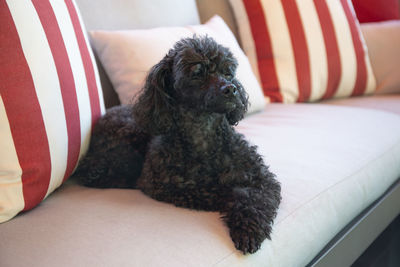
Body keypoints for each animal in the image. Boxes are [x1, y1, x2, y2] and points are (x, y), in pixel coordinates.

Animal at [74, 36, 282, 255]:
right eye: (197, 73)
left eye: (228, 72)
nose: (231, 88)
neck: (203, 132)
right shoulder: (161, 185)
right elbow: (215, 191)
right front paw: (231, 197)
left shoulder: (263, 178)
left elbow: (257, 199)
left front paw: (248, 230)